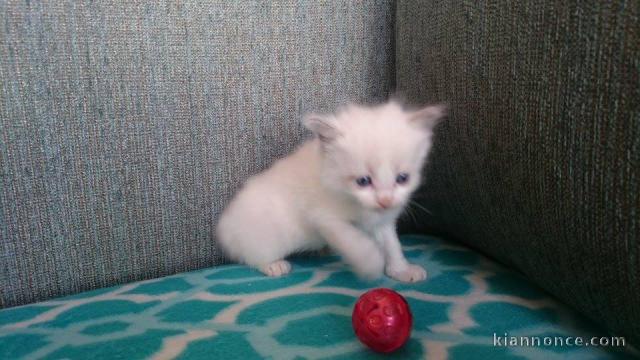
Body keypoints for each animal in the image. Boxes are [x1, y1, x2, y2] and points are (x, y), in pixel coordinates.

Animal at [216, 100, 444, 282]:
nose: (385, 201)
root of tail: (225, 225)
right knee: (251, 255)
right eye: (363, 181)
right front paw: (371, 263)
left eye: (402, 178)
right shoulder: (325, 218)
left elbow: (392, 244)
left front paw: (401, 270)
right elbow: (354, 241)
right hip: (265, 234)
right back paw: (273, 264)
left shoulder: (382, 220)